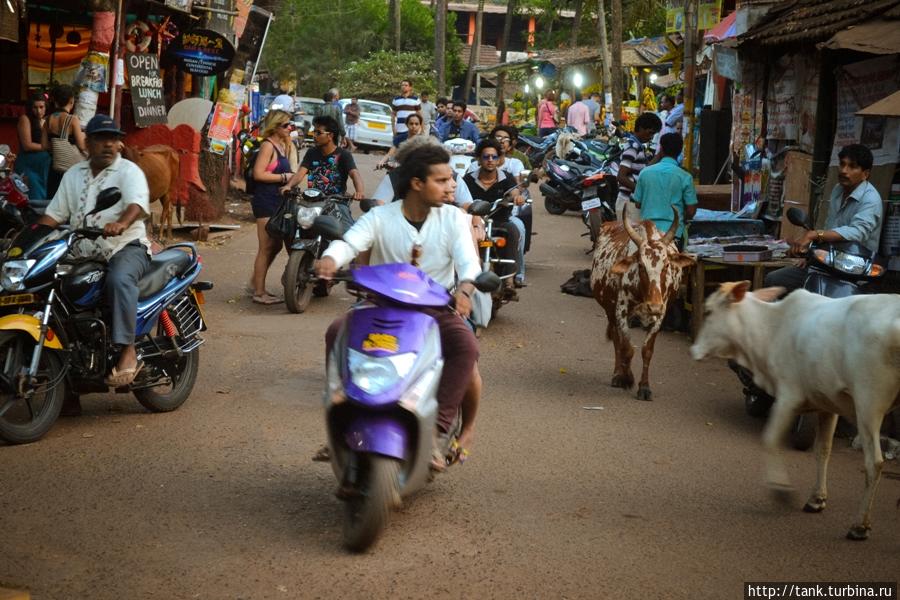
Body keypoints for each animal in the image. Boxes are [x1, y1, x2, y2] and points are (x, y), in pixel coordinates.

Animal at [592, 209, 696, 400]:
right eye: (640, 265)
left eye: (666, 265)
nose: (653, 306)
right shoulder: (620, 311)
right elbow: (626, 348)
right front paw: (626, 378)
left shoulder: (660, 314)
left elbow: (647, 350)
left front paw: (644, 387)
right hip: (609, 309)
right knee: (617, 339)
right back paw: (618, 374)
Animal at [692, 282, 896, 540]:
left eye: (708, 311)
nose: (693, 350)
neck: (773, 328)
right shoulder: (828, 405)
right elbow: (823, 450)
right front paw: (816, 499)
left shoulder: (789, 397)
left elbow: (769, 440)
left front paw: (781, 490)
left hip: (868, 404)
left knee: (874, 463)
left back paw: (860, 526)